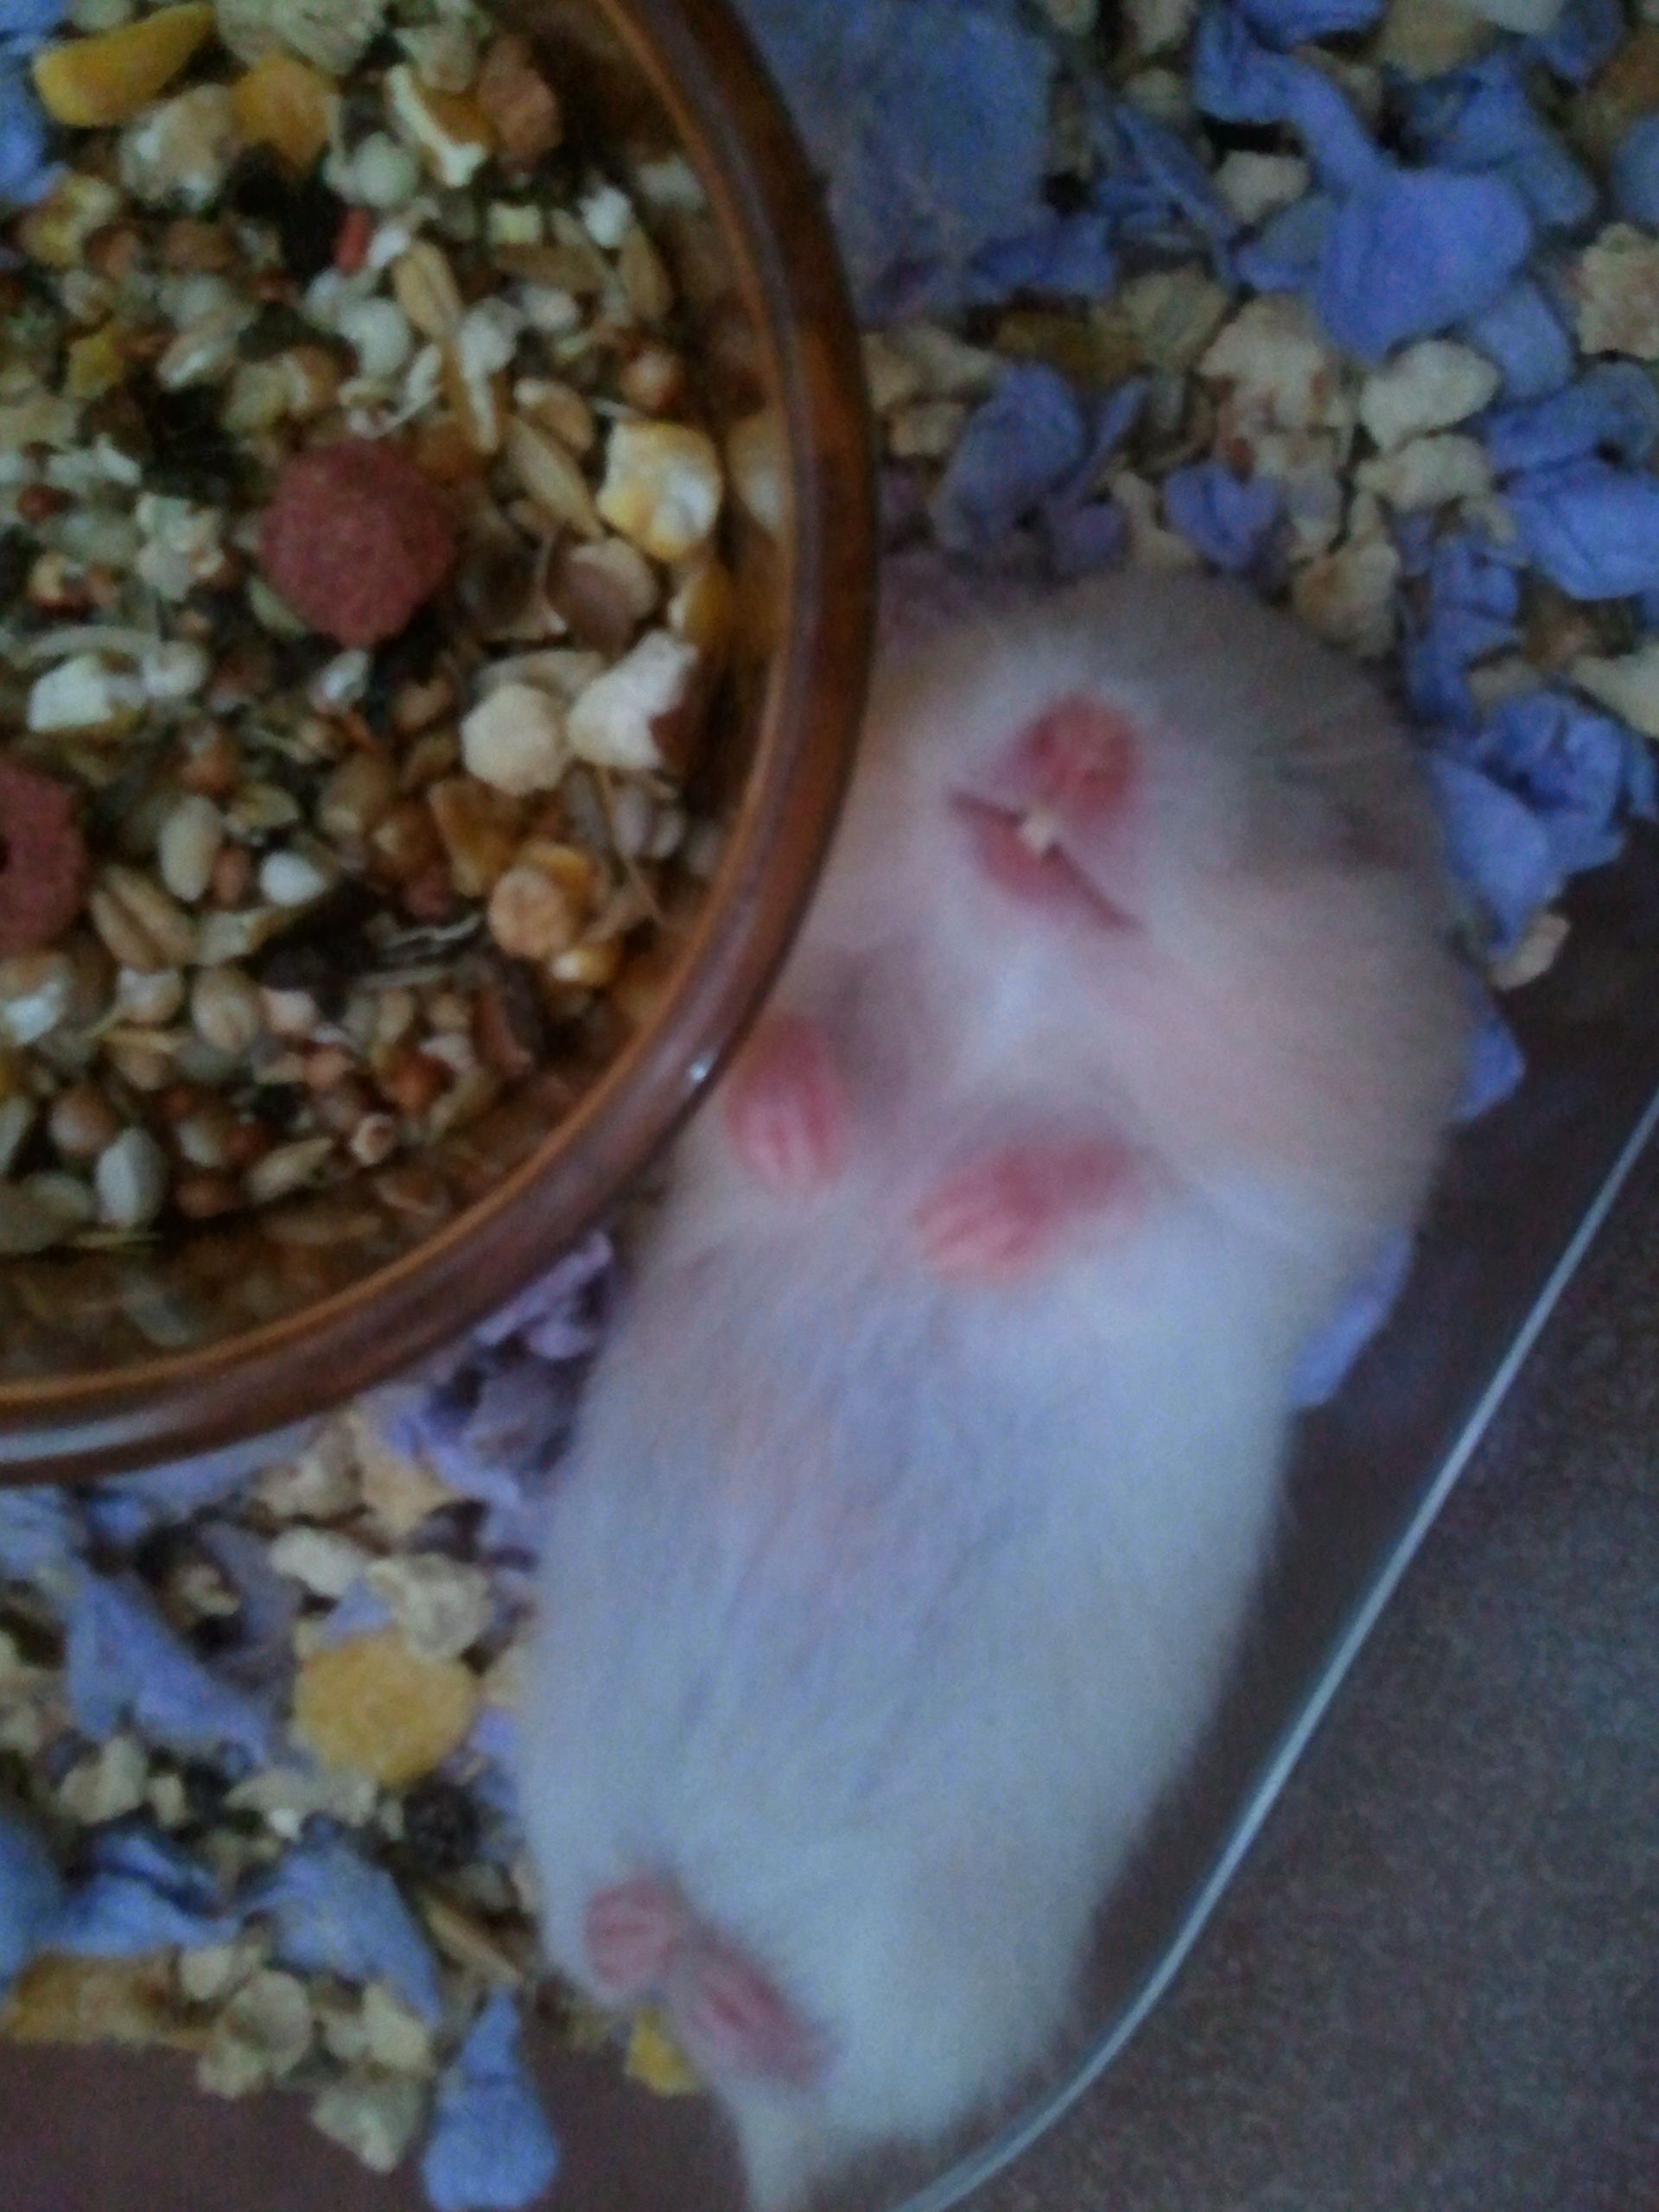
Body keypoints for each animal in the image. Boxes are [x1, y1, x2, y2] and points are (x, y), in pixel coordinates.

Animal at [517, 569, 1470, 2209]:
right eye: (1083, 612)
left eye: (1315, 811)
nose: (1085, 730)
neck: (1010, 1003)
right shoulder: (762, 1026)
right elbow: (779, 1053)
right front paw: (818, 1152)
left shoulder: (1271, 1238)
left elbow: (1121, 1190)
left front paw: (948, 1225)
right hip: (570, 1781)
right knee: (614, 1954)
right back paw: (654, 1936)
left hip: (937, 1980)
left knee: (836, 2082)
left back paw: (744, 2005)